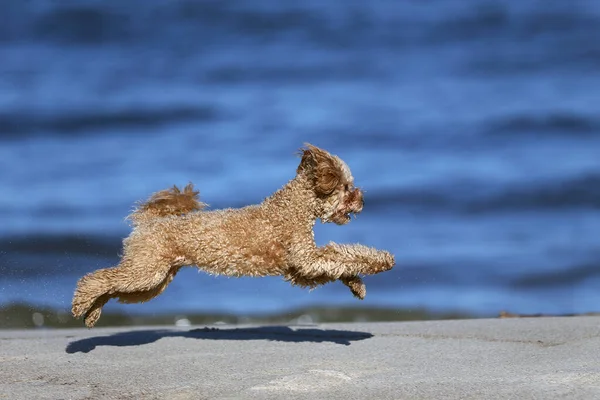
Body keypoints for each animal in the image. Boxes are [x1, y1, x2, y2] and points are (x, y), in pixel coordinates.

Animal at [71, 144, 394, 328]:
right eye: (347, 187)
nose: (363, 200)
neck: (293, 208)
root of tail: (149, 223)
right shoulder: (305, 258)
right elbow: (345, 256)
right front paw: (383, 261)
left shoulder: (300, 268)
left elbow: (340, 260)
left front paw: (357, 285)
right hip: (146, 271)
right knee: (95, 279)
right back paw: (80, 304)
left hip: (154, 280)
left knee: (111, 288)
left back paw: (92, 315)